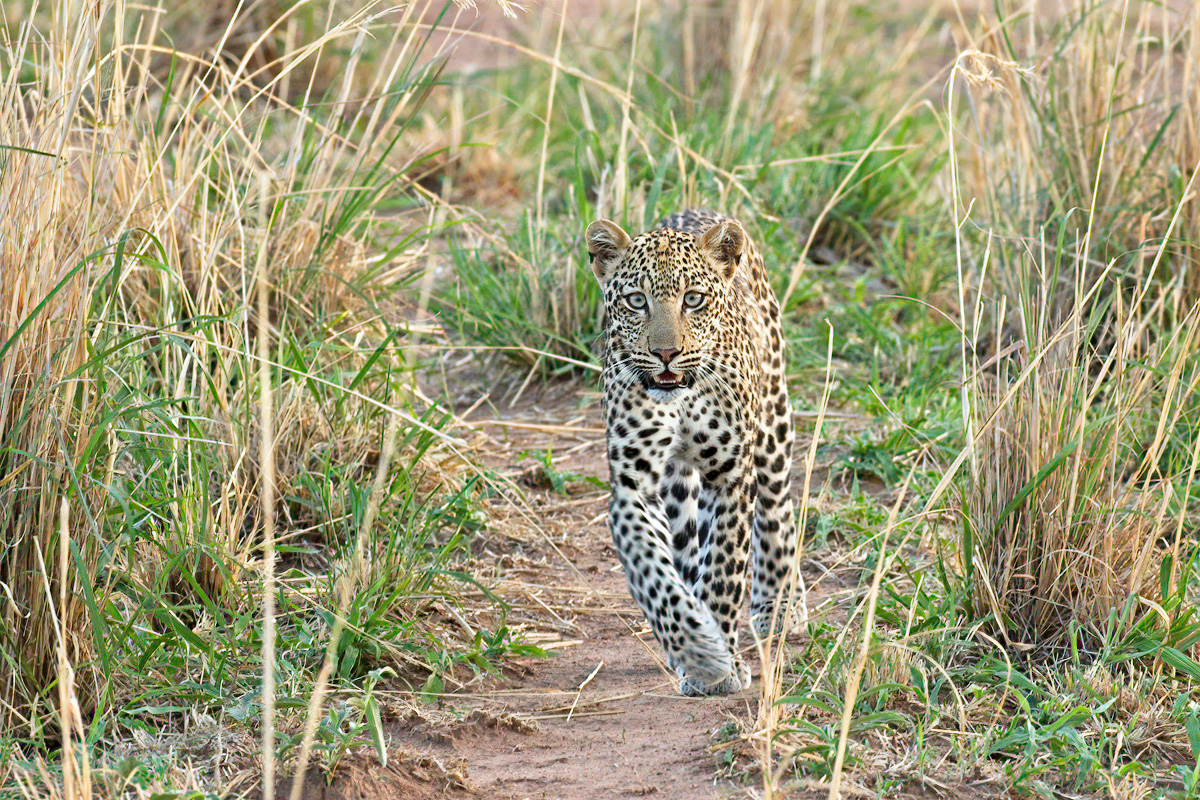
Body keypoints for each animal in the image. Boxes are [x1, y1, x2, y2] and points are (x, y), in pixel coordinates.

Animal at [583, 209, 796, 695]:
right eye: (636, 300)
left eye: (693, 300)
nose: (666, 353)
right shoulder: (632, 485)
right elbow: (651, 569)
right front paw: (699, 652)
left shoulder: (732, 476)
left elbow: (723, 570)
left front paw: (721, 665)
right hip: (679, 487)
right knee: (683, 551)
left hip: (773, 424)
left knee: (778, 511)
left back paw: (778, 605)